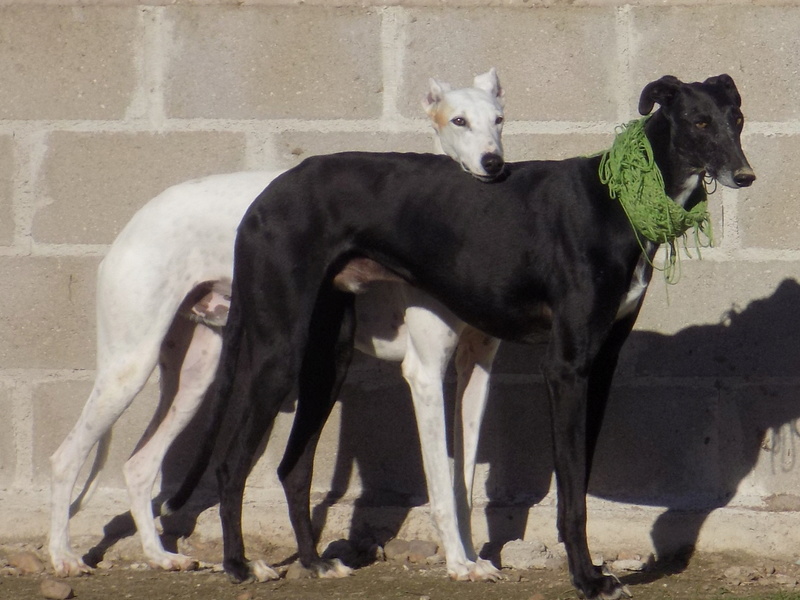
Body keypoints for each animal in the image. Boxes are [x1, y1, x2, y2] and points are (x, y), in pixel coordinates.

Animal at [51, 69, 506, 580]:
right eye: (458, 120)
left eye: (499, 119)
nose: (493, 163)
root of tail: (130, 227)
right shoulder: (424, 373)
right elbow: (443, 483)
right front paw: (459, 564)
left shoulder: (476, 369)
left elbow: (465, 482)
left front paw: (475, 560)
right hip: (132, 365)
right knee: (66, 458)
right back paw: (63, 556)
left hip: (198, 373)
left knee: (139, 465)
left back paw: (161, 555)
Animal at [178, 75, 752, 600]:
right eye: (699, 122)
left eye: (737, 118)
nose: (745, 174)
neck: (620, 199)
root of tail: (265, 196)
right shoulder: (566, 367)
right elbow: (570, 494)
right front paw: (587, 580)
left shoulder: (601, 365)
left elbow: (579, 480)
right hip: (278, 350)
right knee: (230, 465)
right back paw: (239, 566)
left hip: (327, 357)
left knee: (293, 466)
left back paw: (316, 564)